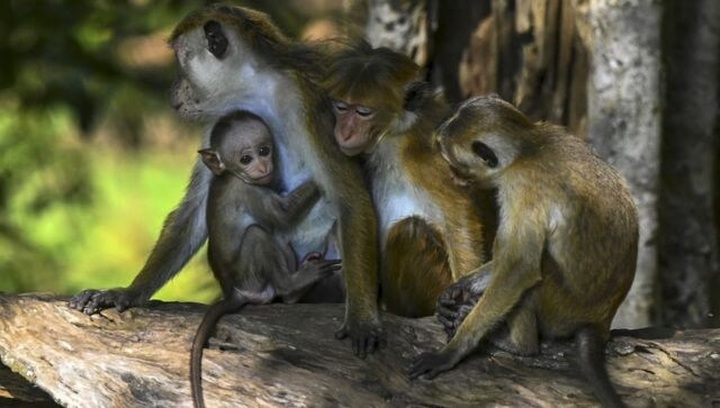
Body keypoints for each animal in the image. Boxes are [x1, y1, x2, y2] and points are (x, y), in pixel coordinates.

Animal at [68, 4, 383, 358]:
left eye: (180, 61)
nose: (173, 89)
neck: (253, 88)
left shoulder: (308, 103)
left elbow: (349, 197)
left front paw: (362, 319)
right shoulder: (219, 123)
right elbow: (195, 210)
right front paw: (129, 292)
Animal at [191, 111, 341, 408]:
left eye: (264, 150)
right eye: (245, 158)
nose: (263, 166)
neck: (232, 176)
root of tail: (235, 291)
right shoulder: (250, 192)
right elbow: (283, 215)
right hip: (252, 277)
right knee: (258, 234)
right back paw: (291, 286)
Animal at [322, 41, 496, 317]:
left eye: (363, 112)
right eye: (341, 107)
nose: (344, 132)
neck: (393, 137)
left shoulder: (423, 158)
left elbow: (459, 213)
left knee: (410, 230)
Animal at [408, 95, 638, 408]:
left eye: (455, 164)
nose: (454, 177)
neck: (529, 146)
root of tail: (601, 320)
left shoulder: (521, 185)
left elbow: (519, 267)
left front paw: (452, 351)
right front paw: (458, 291)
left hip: (560, 309)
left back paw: (518, 345)